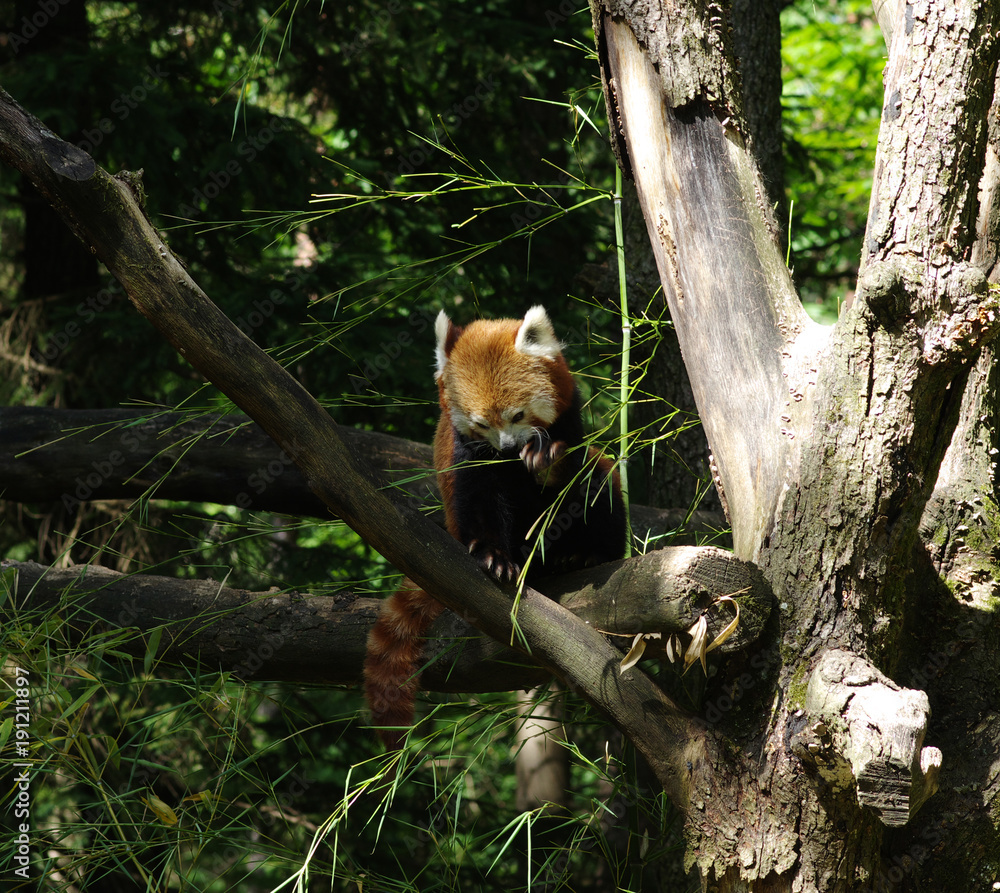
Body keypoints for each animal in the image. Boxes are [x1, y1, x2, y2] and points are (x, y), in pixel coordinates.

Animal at [364, 304, 624, 748]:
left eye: (517, 414)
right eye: (481, 423)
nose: (506, 448)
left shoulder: (569, 423)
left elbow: (572, 481)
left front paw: (548, 463)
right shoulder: (466, 455)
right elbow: (481, 501)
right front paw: (494, 558)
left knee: (600, 477)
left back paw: (583, 555)